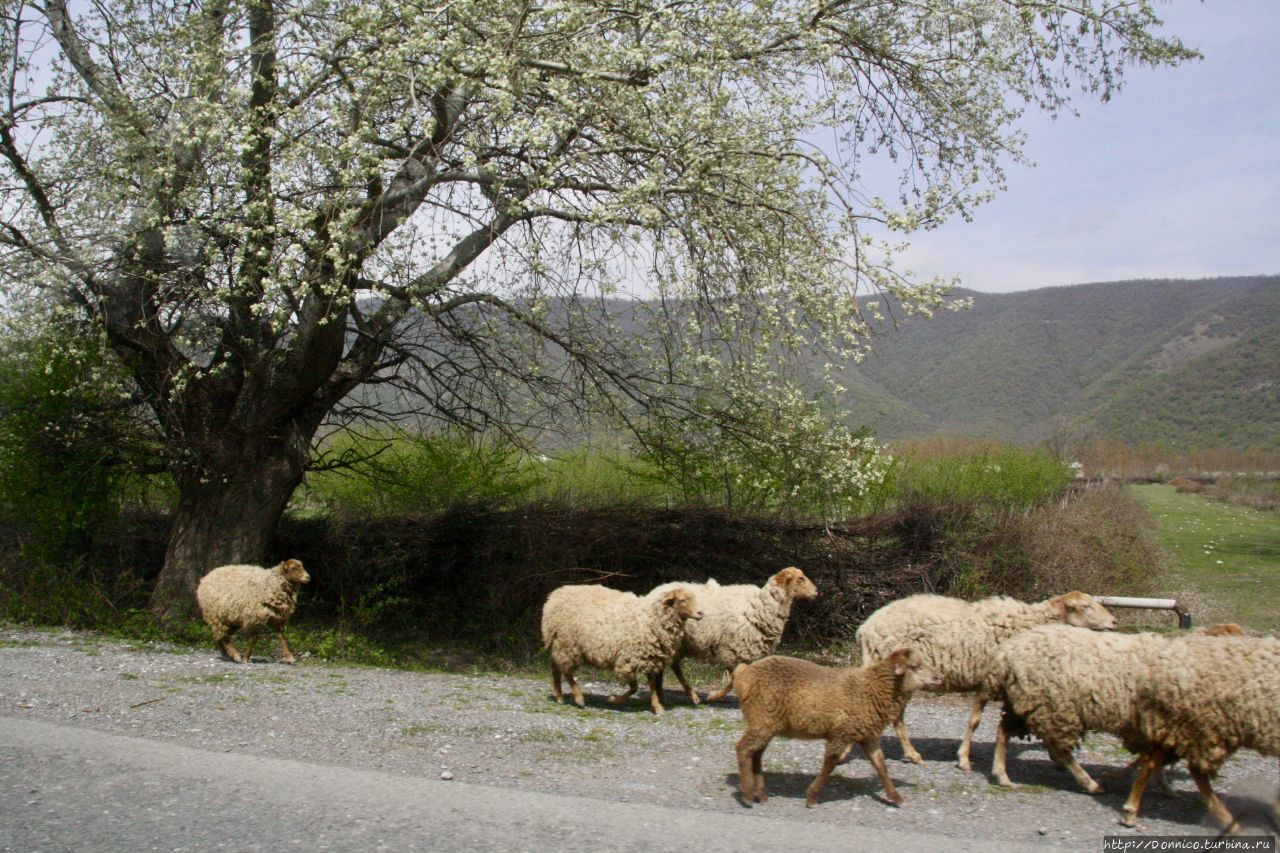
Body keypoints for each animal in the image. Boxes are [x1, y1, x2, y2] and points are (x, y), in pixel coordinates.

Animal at [537, 581, 706, 712]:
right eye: (683, 600)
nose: (701, 613)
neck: (653, 617)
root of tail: (554, 597)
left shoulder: (649, 656)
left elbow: (651, 684)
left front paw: (657, 706)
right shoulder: (628, 659)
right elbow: (635, 687)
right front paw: (614, 699)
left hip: (561, 644)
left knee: (555, 667)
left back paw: (559, 697)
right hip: (567, 644)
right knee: (566, 671)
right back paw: (579, 699)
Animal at [650, 568, 819, 701]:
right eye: (801, 578)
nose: (816, 592)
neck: (761, 606)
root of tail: (654, 592)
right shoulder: (734, 650)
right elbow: (733, 680)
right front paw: (714, 695)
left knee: (671, 665)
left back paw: (665, 695)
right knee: (671, 666)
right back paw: (688, 696)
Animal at [732, 650, 942, 804]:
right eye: (915, 666)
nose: (938, 678)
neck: (873, 689)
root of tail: (744, 674)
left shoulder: (868, 736)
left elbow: (881, 765)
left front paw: (895, 797)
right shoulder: (841, 733)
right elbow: (830, 762)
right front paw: (812, 796)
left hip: (767, 724)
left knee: (756, 754)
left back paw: (761, 795)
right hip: (761, 720)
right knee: (742, 748)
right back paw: (748, 795)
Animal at [855, 589, 1116, 768]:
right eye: (1086, 606)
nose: (1114, 622)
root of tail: (867, 627)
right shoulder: (989, 679)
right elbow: (975, 721)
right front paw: (963, 759)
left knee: (895, 715)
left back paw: (908, 753)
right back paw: (906, 753)